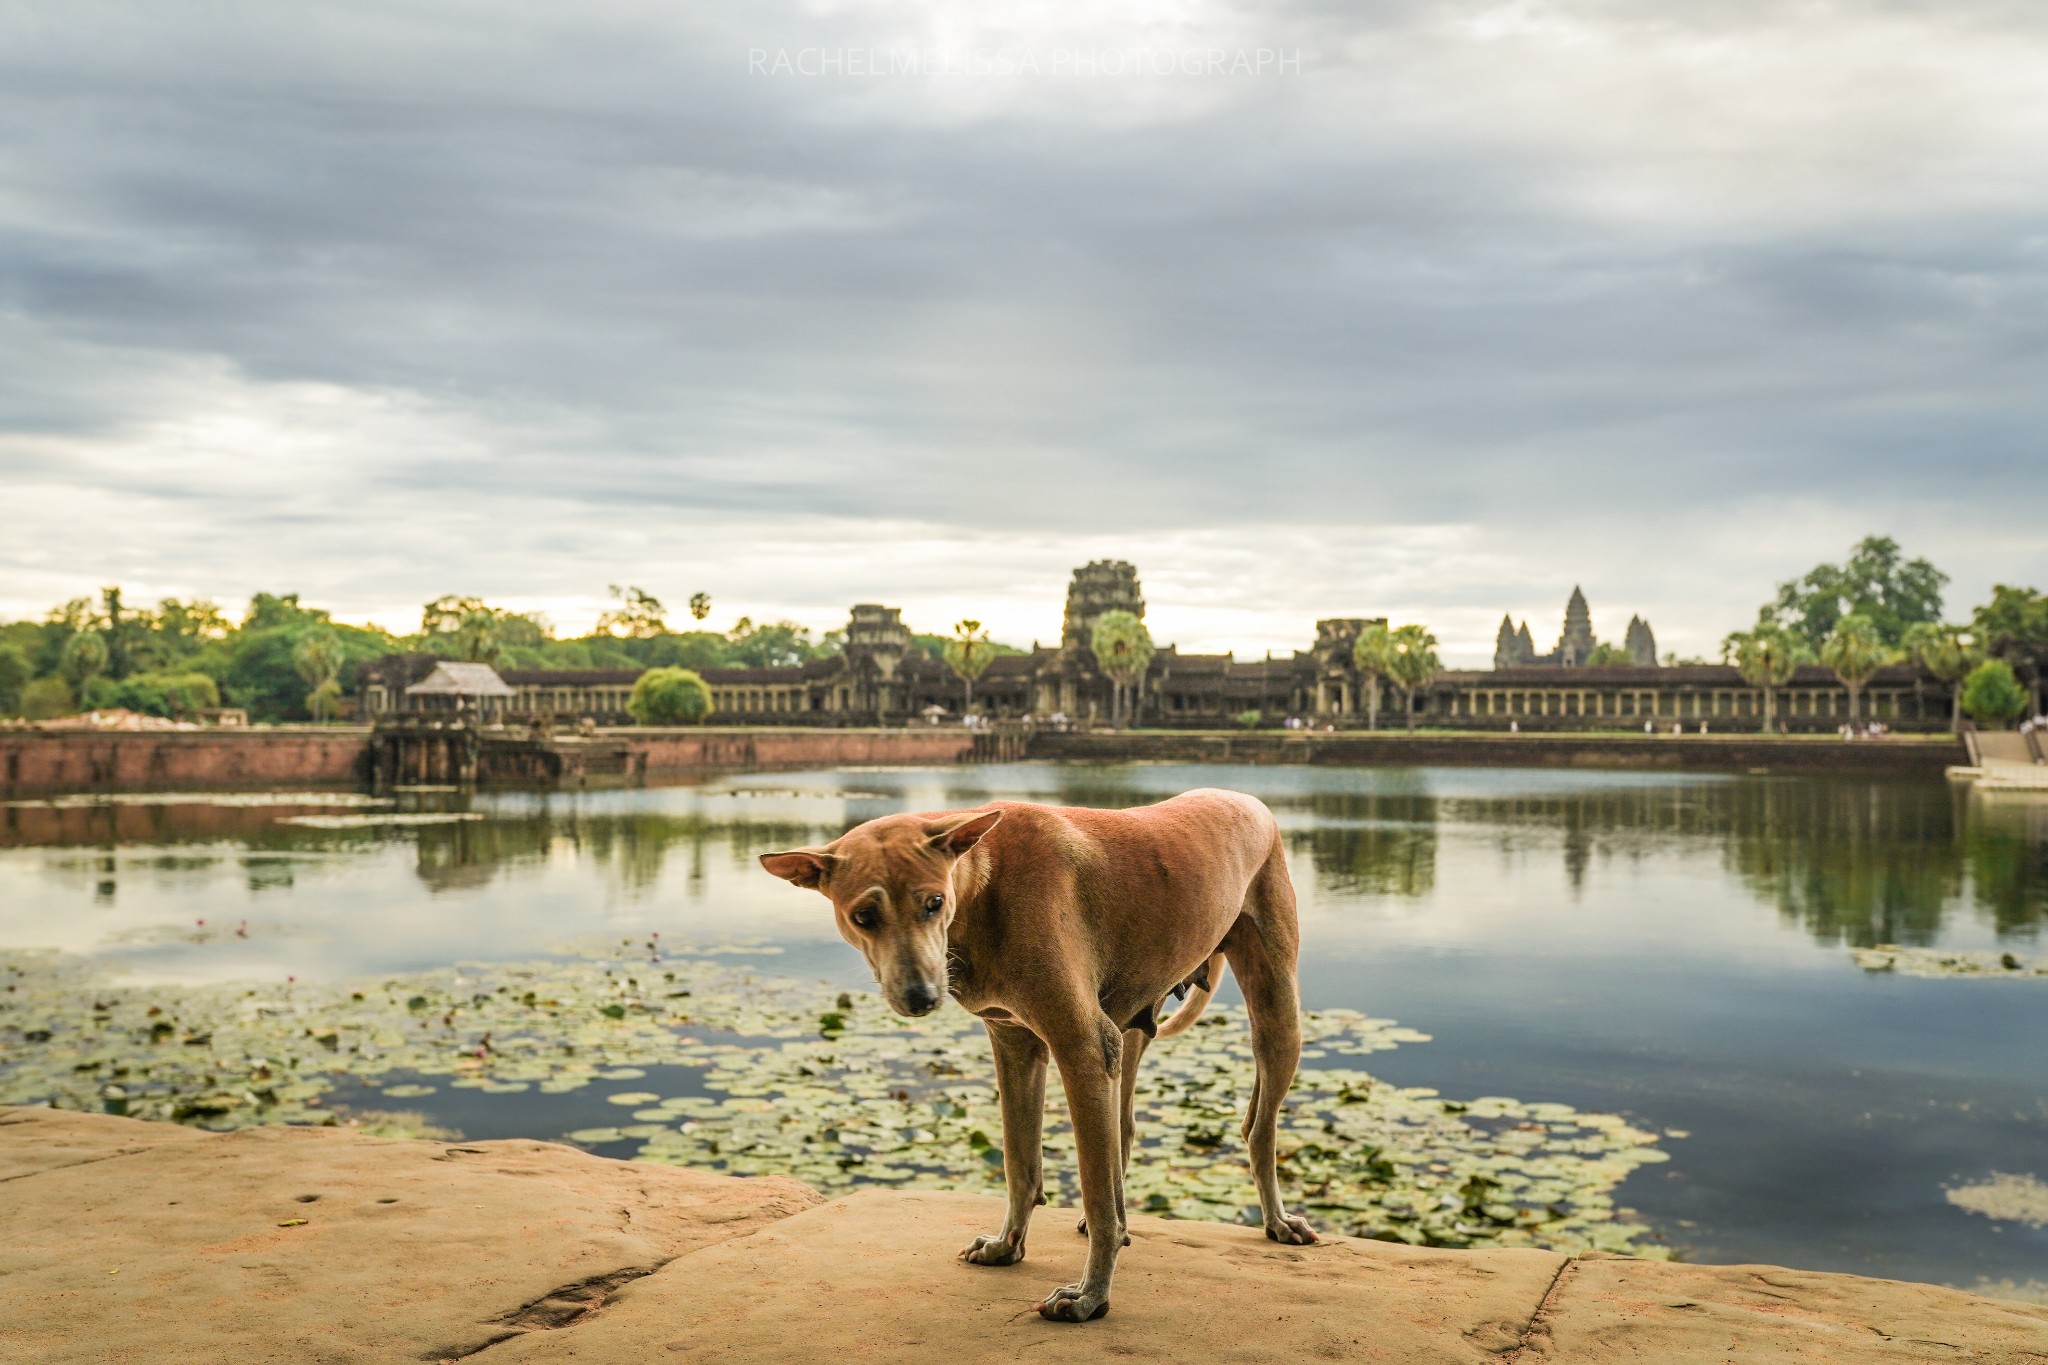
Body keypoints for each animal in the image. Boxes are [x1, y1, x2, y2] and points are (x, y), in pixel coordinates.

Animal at [761, 789, 1318, 1326]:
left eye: (933, 902)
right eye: (863, 916)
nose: (921, 996)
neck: (983, 885)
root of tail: (1250, 799)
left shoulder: (1082, 1047)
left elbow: (1095, 1192)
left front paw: (1090, 1296)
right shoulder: (1015, 1044)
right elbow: (1020, 1161)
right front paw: (1006, 1246)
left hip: (1276, 1018)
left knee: (1257, 1129)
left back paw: (1277, 1220)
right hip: (1133, 1029)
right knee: (1126, 1128)